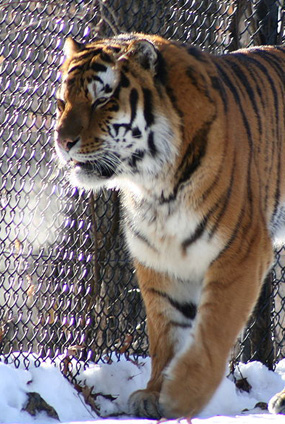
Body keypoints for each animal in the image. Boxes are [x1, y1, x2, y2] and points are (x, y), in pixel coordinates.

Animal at [53, 33, 284, 418]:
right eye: (61, 102)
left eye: (103, 100)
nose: (62, 142)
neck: (154, 188)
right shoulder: (160, 259)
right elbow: (167, 333)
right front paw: (153, 393)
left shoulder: (241, 251)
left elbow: (212, 331)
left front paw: (183, 395)